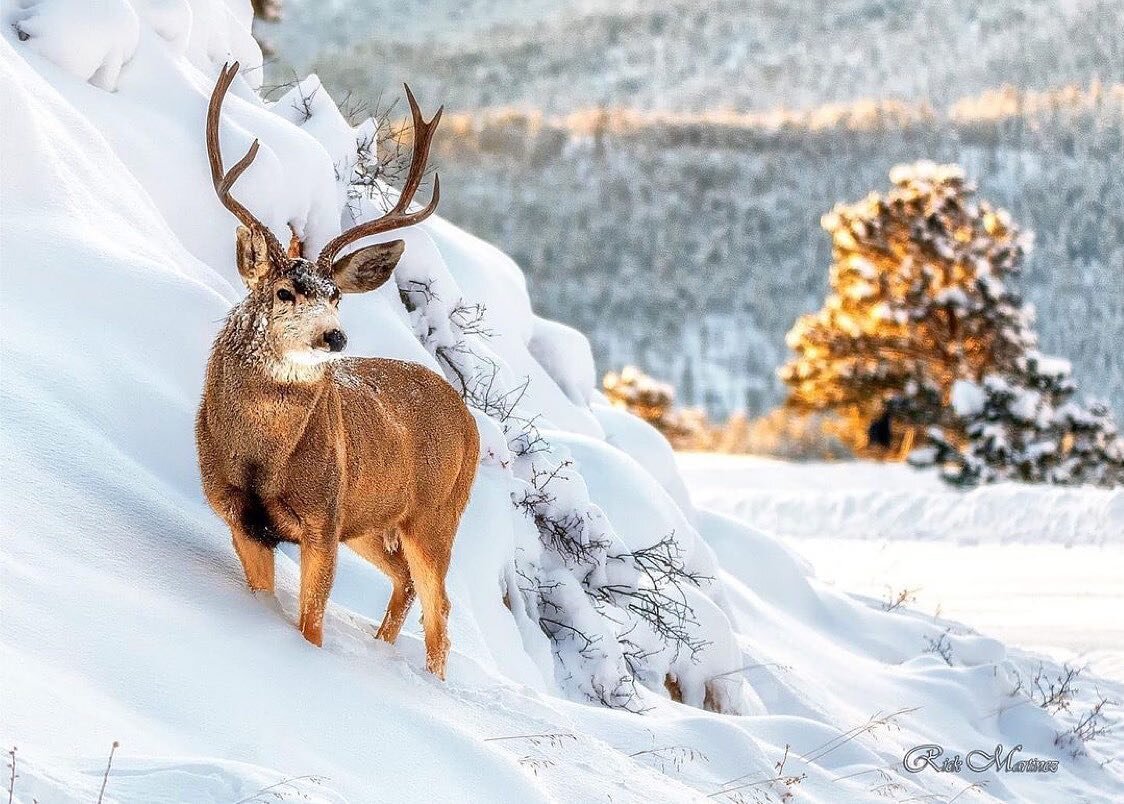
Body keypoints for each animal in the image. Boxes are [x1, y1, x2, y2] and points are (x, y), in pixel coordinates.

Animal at [197, 62, 478, 679]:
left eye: (336, 296)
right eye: (284, 291)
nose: (335, 335)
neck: (263, 459)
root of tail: (470, 419)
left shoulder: (322, 520)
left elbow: (311, 628)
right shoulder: (237, 515)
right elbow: (263, 598)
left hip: (435, 512)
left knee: (441, 605)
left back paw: (430, 682)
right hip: (370, 520)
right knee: (406, 582)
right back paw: (381, 649)